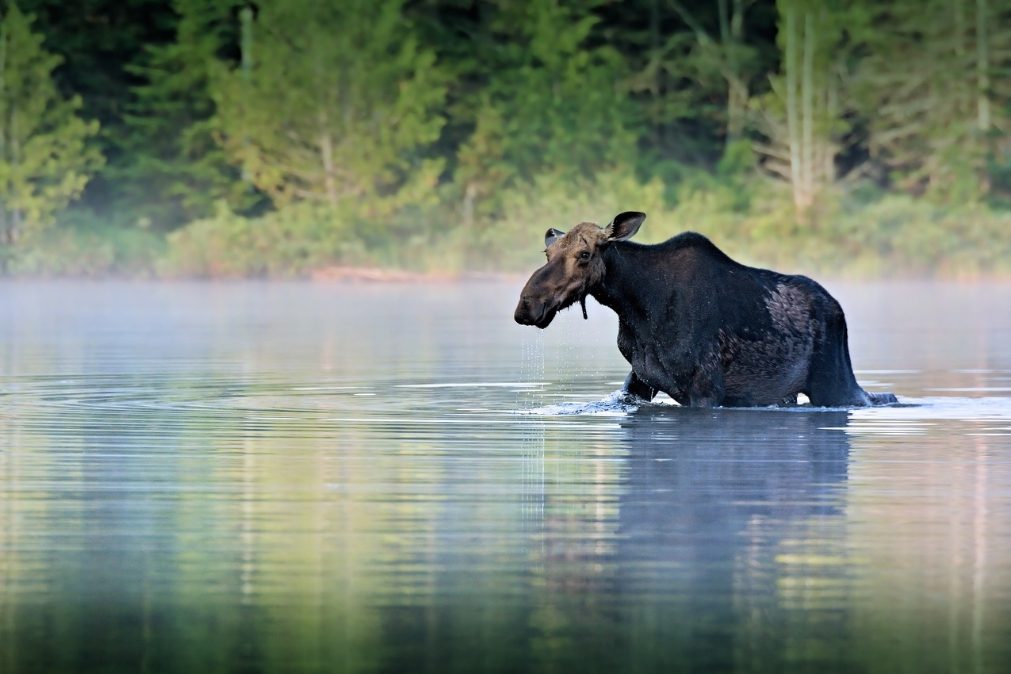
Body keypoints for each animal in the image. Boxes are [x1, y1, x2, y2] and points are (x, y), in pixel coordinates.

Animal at [517, 213, 897, 408]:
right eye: (547, 254)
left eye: (584, 255)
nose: (527, 305)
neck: (636, 306)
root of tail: (838, 310)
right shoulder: (639, 379)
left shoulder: (706, 388)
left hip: (834, 381)